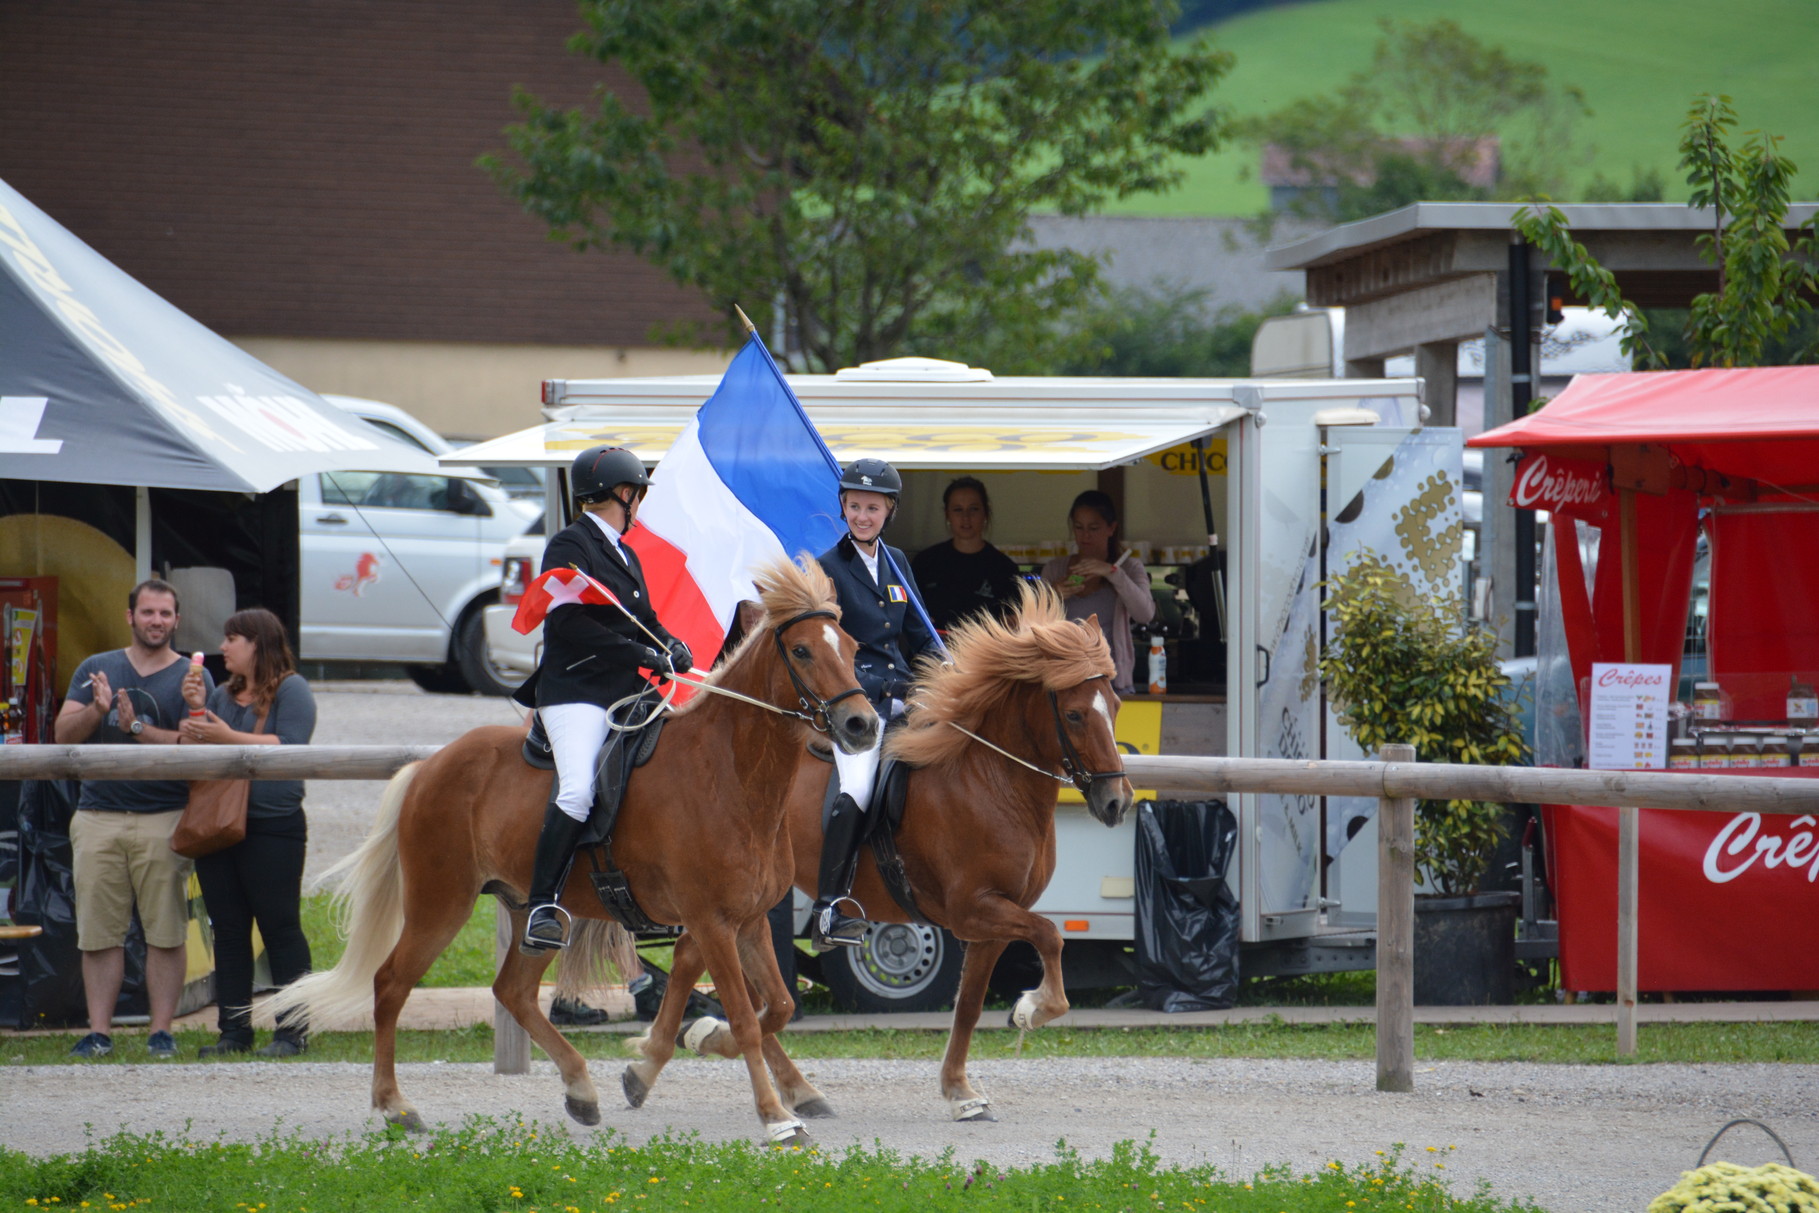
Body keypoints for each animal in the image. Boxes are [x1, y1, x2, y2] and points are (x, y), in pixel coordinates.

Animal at [265, 560, 880, 1149]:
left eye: (852, 648)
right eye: (802, 650)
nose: (863, 725)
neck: (728, 772)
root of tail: (430, 765)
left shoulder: (747, 923)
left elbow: (776, 1008)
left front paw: (692, 1048)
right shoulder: (711, 923)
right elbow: (751, 1020)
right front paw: (776, 1118)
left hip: (531, 909)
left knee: (512, 991)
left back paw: (581, 1090)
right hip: (441, 903)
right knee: (391, 984)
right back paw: (396, 1106)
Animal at [633, 581, 1127, 1127]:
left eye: (1116, 704)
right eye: (1075, 715)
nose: (1116, 802)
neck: (987, 777)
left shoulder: (992, 919)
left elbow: (970, 1005)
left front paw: (960, 1090)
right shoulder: (974, 909)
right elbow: (1051, 936)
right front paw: (1032, 1009)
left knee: (699, 960)